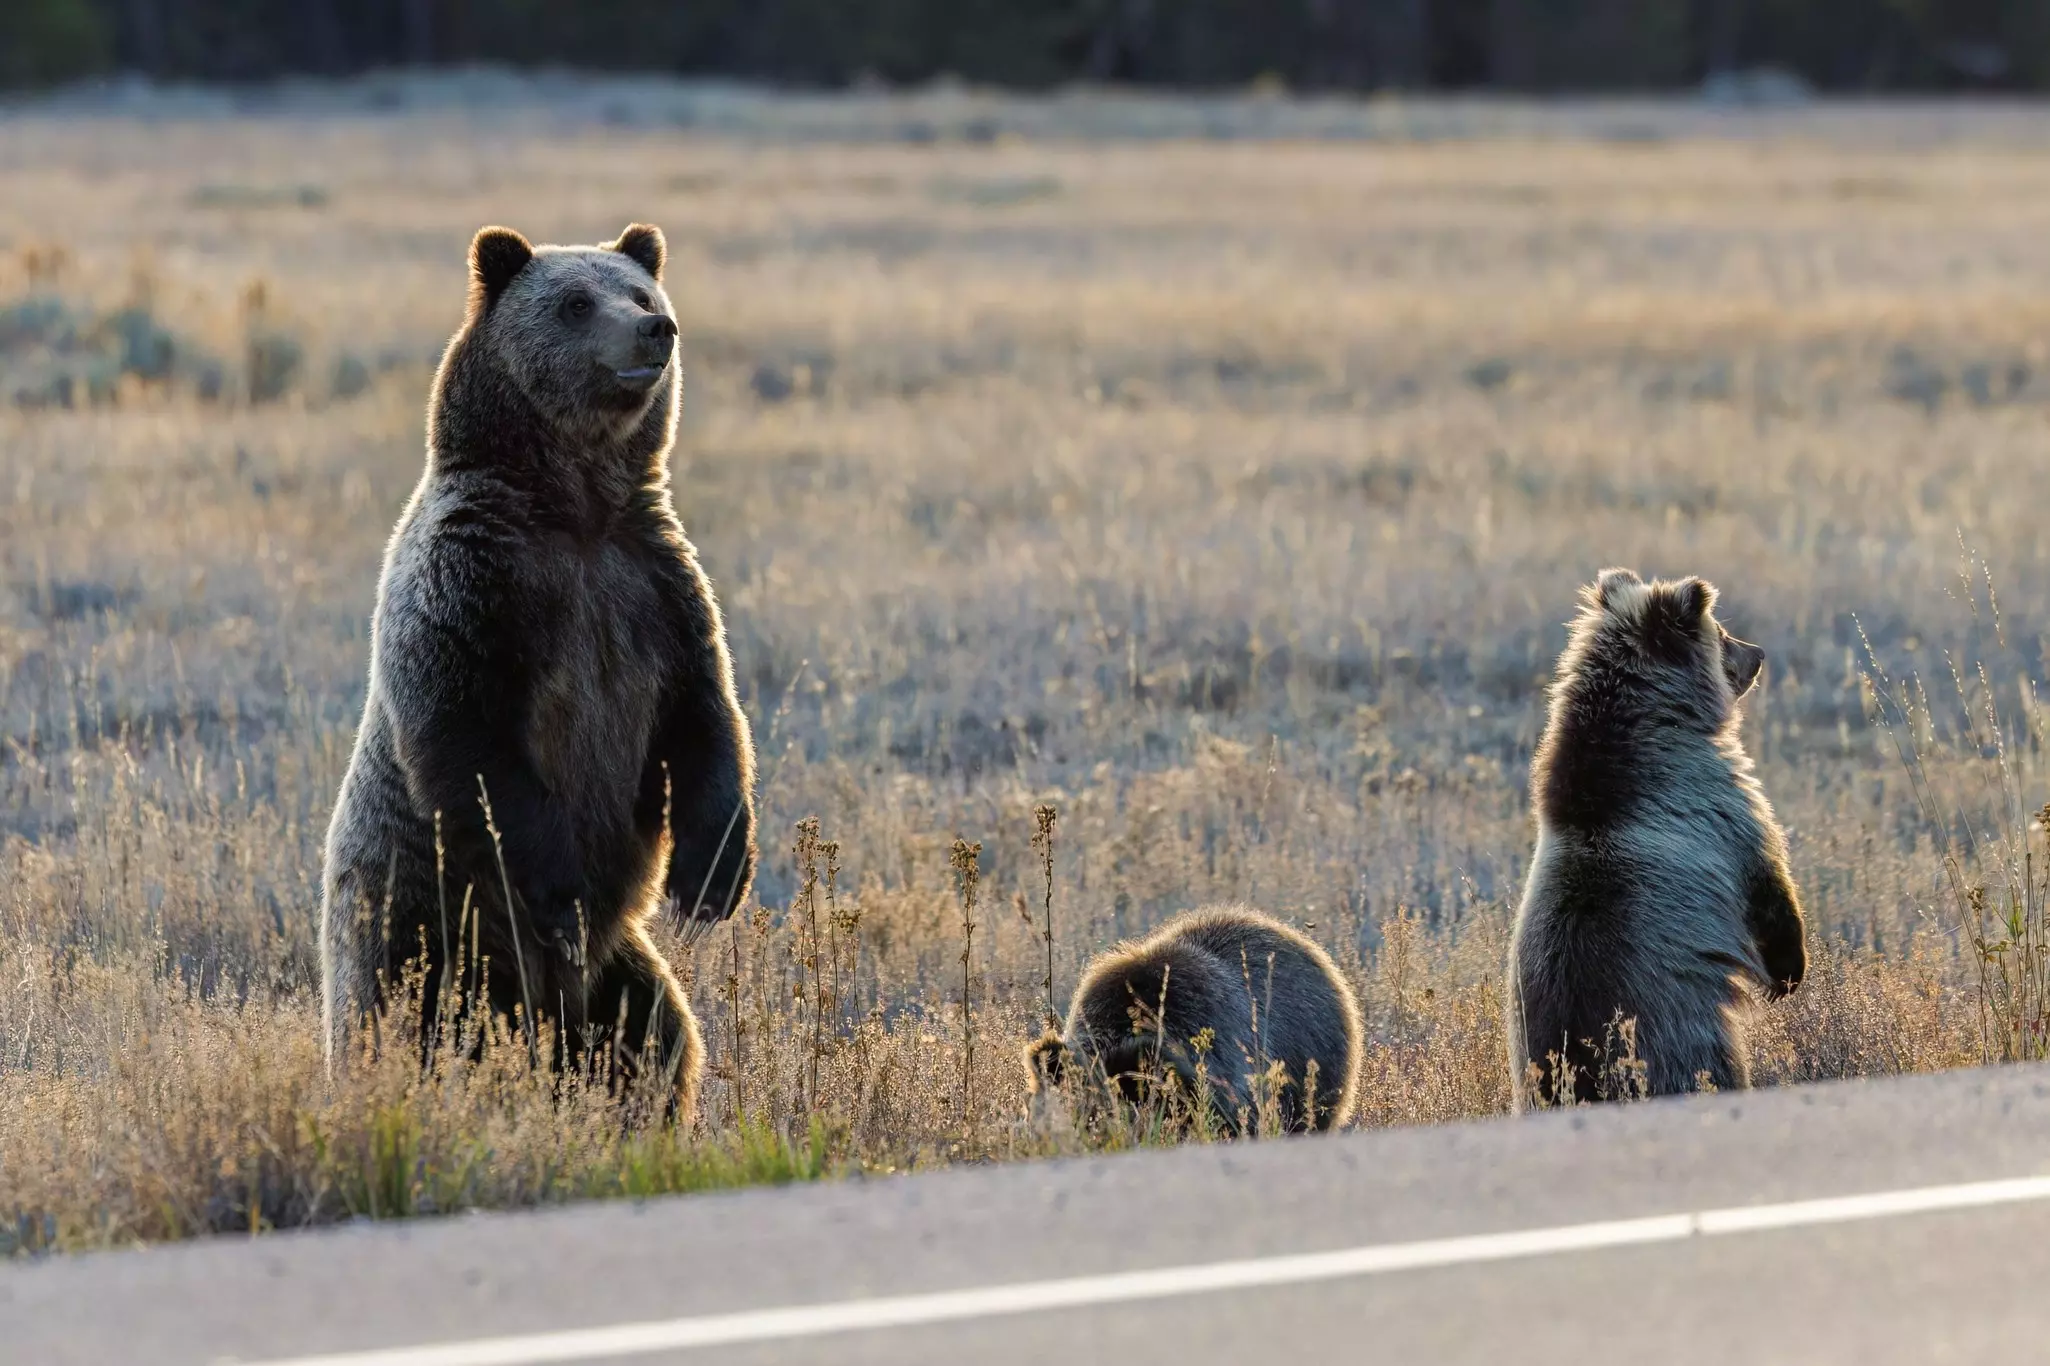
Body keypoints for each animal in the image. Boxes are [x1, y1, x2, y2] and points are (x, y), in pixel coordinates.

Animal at [320, 222, 756, 1121]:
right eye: (576, 302)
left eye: (641, 292)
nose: (655, 331)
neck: (576, 509)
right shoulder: (476, 585)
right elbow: (474, 745)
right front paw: (564, 894)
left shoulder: (653, 586)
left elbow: (707, 719)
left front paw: (711, 881)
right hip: (424, 927)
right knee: (409, 1027)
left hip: (617, 970)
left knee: (654, 1033)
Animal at [1507, 567, 1805, 1110]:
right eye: (1722, 633)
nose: (1757, 653)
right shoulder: (1719, 806)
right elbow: (1767, 875)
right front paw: (1788, 972)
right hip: (1680, 1038)